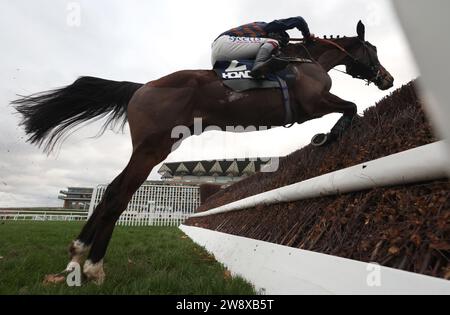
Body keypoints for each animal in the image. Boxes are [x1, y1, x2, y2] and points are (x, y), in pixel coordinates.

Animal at [12, 21, 394, 286]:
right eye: (372, 49)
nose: (388, 79)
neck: (305, 61)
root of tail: (141, 88)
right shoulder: (313, 103)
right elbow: (351, 106)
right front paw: (327, 137)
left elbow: (351, 106)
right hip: (153, 148)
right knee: (119, 195)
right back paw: (94, 266)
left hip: (147, 149)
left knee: (110, 191)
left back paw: (77, 257)